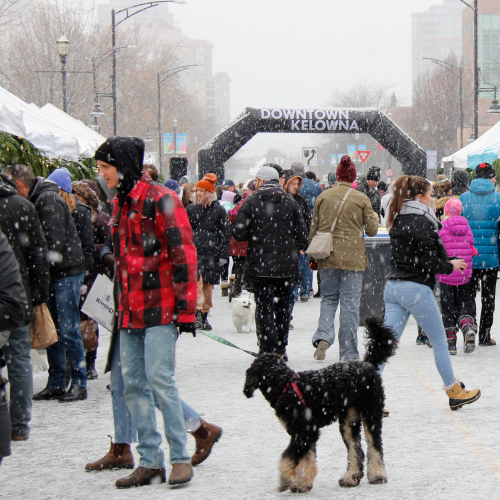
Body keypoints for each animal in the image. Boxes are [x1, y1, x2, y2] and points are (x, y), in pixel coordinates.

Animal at [243, 316, 398, 492]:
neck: (284, 385)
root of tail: (368, 365)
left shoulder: (305, 431)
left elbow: (290, 457)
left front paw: (285, 479)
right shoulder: (305, 432)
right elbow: (307, 458)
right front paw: (303, 483)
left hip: (370, 412)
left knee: (375, 444)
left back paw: (378, 474)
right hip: (349, 421)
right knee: (355, 448)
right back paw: (351, 477)